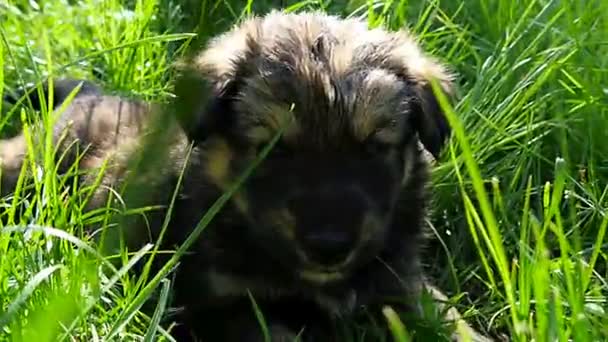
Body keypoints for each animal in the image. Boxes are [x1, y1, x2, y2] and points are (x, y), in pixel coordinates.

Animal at [1, 9, 490, 342]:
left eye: (373, 147)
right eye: (274, 150)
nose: (329, 246)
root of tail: (84, 95)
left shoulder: (401, 285)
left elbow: (453, 321)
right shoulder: (218, 306)